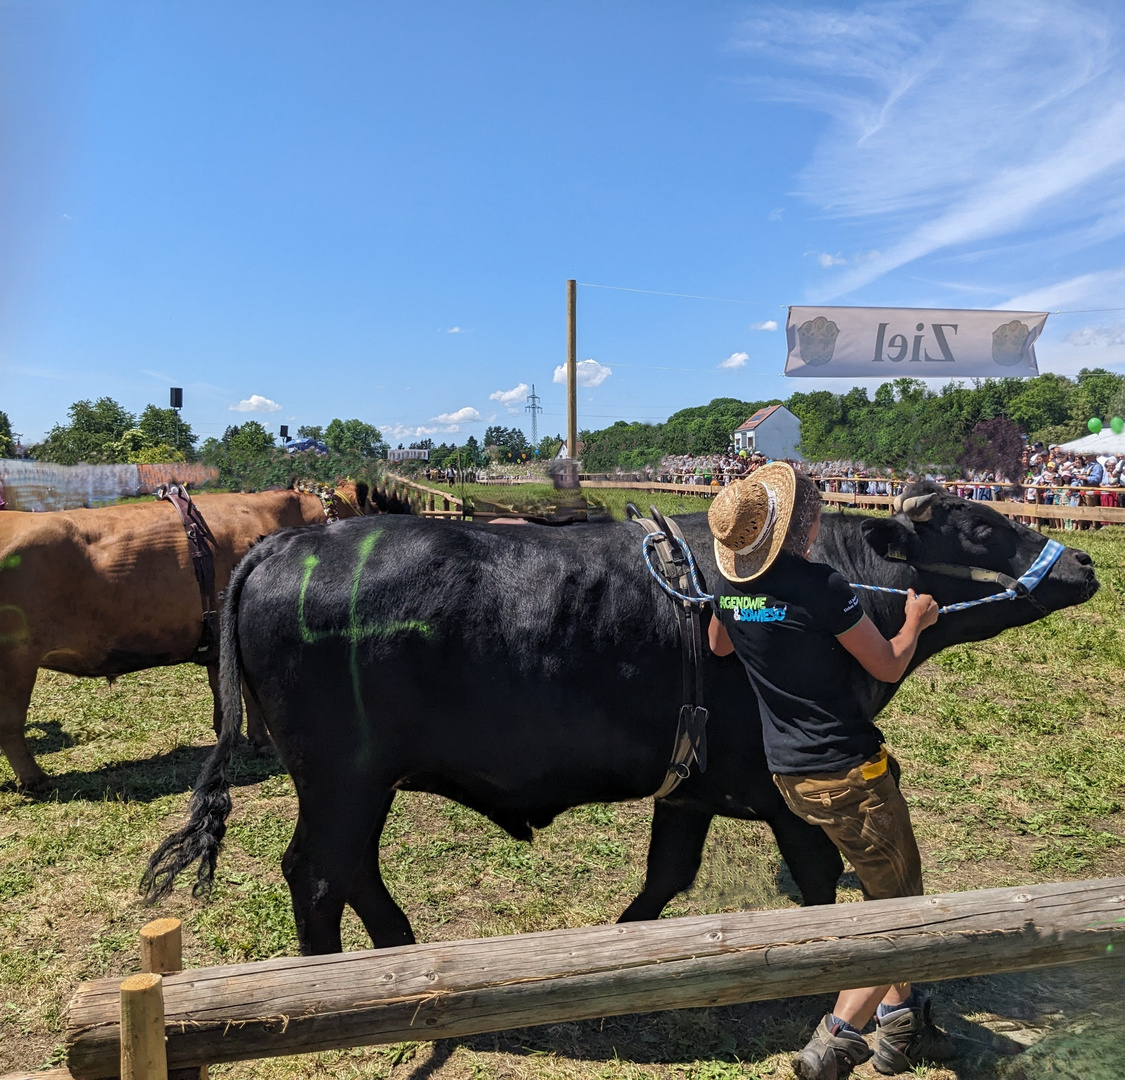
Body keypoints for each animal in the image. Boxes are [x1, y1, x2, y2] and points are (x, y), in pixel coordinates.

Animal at [0, 486, 373, 787]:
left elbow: (221, 687)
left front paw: (228, 732)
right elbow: (248, 693)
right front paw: (261, 741)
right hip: (17, 659)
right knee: (10, 724)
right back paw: (35, 780)